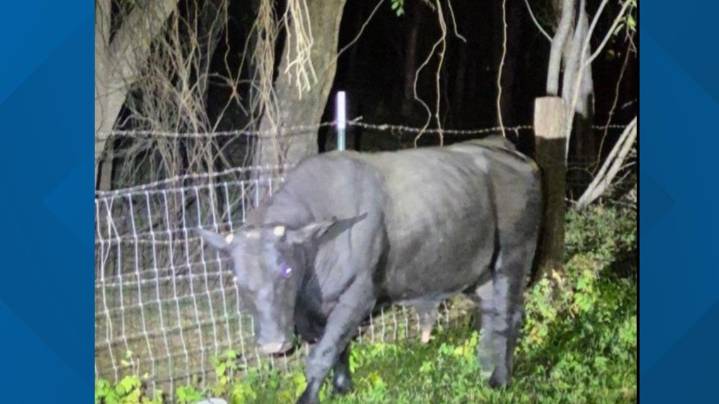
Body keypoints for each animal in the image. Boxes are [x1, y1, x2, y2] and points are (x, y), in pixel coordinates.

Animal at [199, 135, 542, 404]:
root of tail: (504, 147)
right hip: (482, 270)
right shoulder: (316, 311)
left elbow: (322, 354)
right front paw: (342, 388)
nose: (274, 344)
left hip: (513, 256)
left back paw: (500, 381)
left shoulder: (360, 294)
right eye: (236, 278)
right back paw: (486, 370)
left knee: (509, 315)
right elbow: (337, 348)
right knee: (493, 314)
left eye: (285, 272)